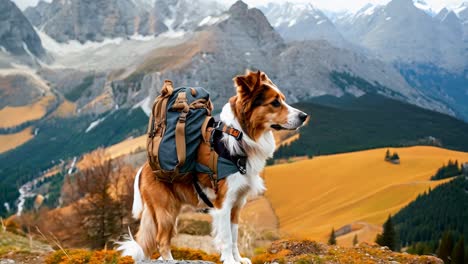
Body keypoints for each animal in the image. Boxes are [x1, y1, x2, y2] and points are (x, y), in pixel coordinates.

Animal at [116, 70, 308, 264]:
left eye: (283, 99)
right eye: (275, 102)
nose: (304, 116)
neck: (240, 137)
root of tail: (143, 168)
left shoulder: (237, 204)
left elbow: (234, 236)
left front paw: (238, 259)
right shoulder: (223, 204)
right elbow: (227, 238)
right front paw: (229, 260)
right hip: (166, 210)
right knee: (161, 240)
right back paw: (169, 259)